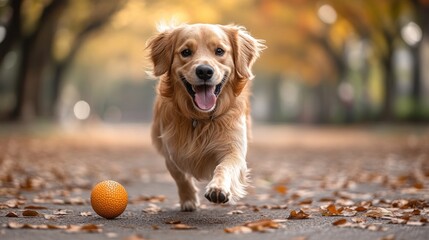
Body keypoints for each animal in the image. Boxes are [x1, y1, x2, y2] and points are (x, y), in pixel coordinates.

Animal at [147, 23, 264, 211]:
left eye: (219, 51)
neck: (200, 118)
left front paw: (218, 188)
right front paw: (188, 199)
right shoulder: (172, 151)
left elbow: (224, 166)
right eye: (186, 52)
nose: (204, 71)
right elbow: (181, 175)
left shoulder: (234, 148)